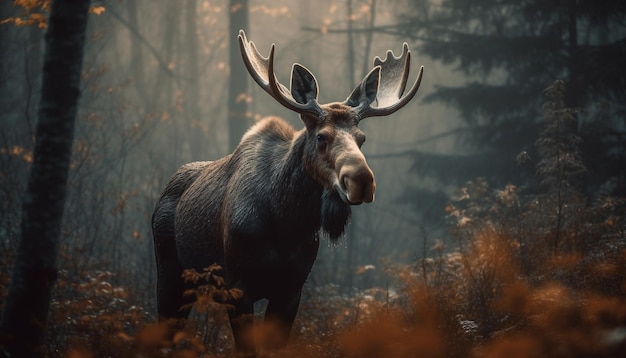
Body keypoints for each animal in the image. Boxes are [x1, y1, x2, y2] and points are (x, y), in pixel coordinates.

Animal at [152, 29, 422, 354]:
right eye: (321, 137)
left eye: (362, 138)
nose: (361, 181)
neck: (286, 222)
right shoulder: (237, 284)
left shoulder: (292, 288)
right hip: (169, 272)